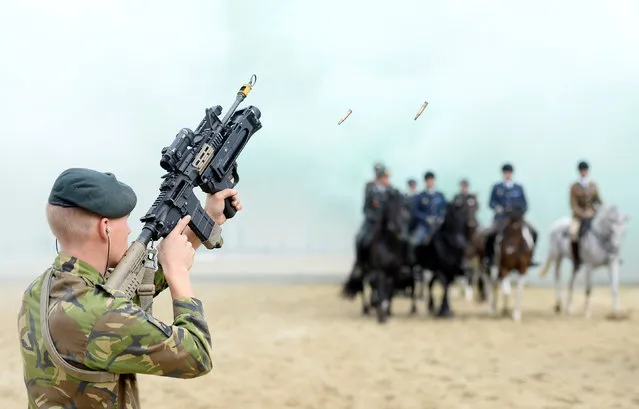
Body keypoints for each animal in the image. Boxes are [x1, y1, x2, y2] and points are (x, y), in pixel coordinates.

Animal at [340, 186, 416, 324]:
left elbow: (389, 292)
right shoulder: (380, 271)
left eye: (407, 208)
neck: (390, 244)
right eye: (392, 208)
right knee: (364, 287)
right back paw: (367, 308)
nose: (400, 232)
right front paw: (381, 315)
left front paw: (387, 311)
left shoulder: (394, 272)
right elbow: (381, 290)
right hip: (366, 269)